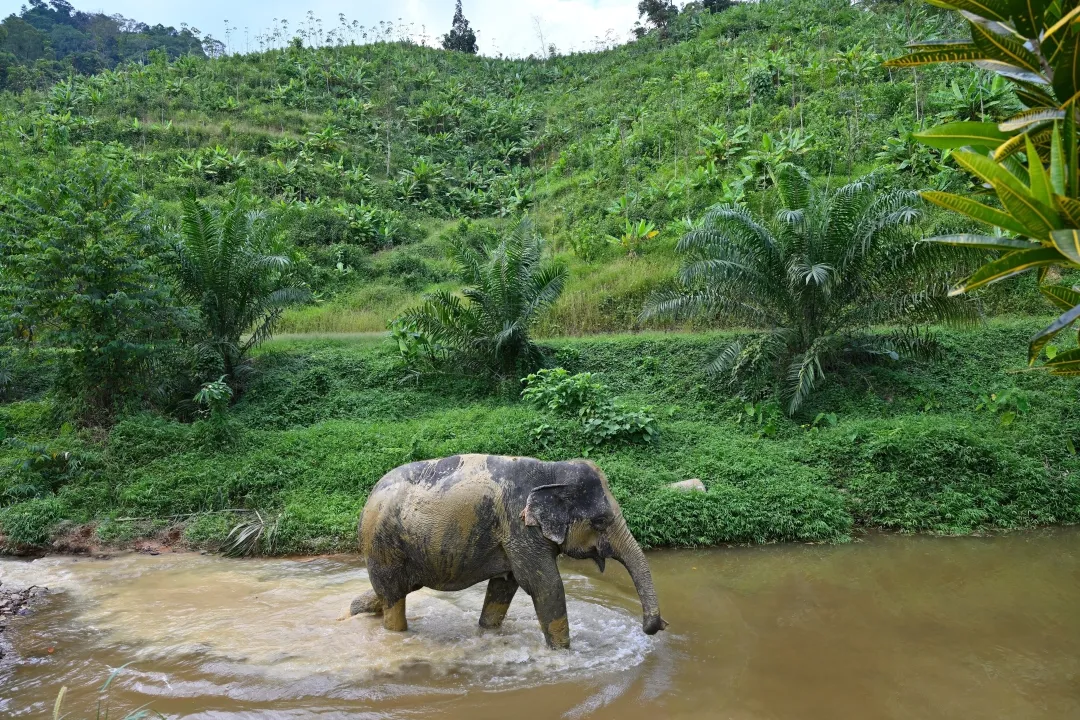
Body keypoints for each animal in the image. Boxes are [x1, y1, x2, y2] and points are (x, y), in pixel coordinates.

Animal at [349, 455, 660, 651]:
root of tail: (370, 495)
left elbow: (504, 586)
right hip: (383, 544)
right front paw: (564, 655)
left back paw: (354, 609)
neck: (552, 470)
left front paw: (487, 632)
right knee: (394, 596)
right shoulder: (519, 527)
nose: (651, 628)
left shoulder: (511, 537)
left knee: (397, 589)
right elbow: (545, 585)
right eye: (600, 521)